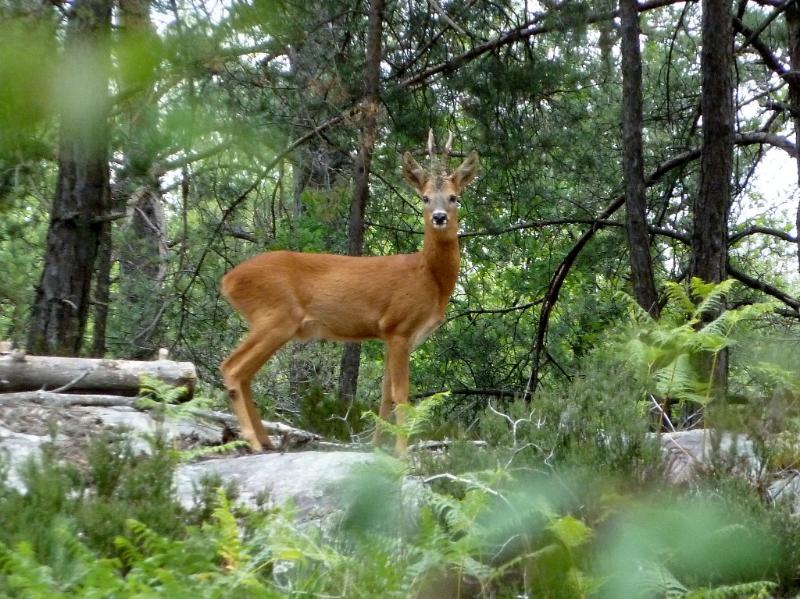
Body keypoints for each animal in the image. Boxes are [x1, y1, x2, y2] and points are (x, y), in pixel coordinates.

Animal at [219, 132, 478, 454]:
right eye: (425, 198)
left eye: (454, 197)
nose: (440, 217)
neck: (428, 277)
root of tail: (227, 280)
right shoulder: (398, 326)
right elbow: (402, 394)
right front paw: (401, 453)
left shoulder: (392, 335)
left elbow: (385, 395)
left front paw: (377, 447)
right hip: (275, 317)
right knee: (232, 368)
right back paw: (255, 441)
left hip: (273, 322)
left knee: (244, 374)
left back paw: (266, 440)